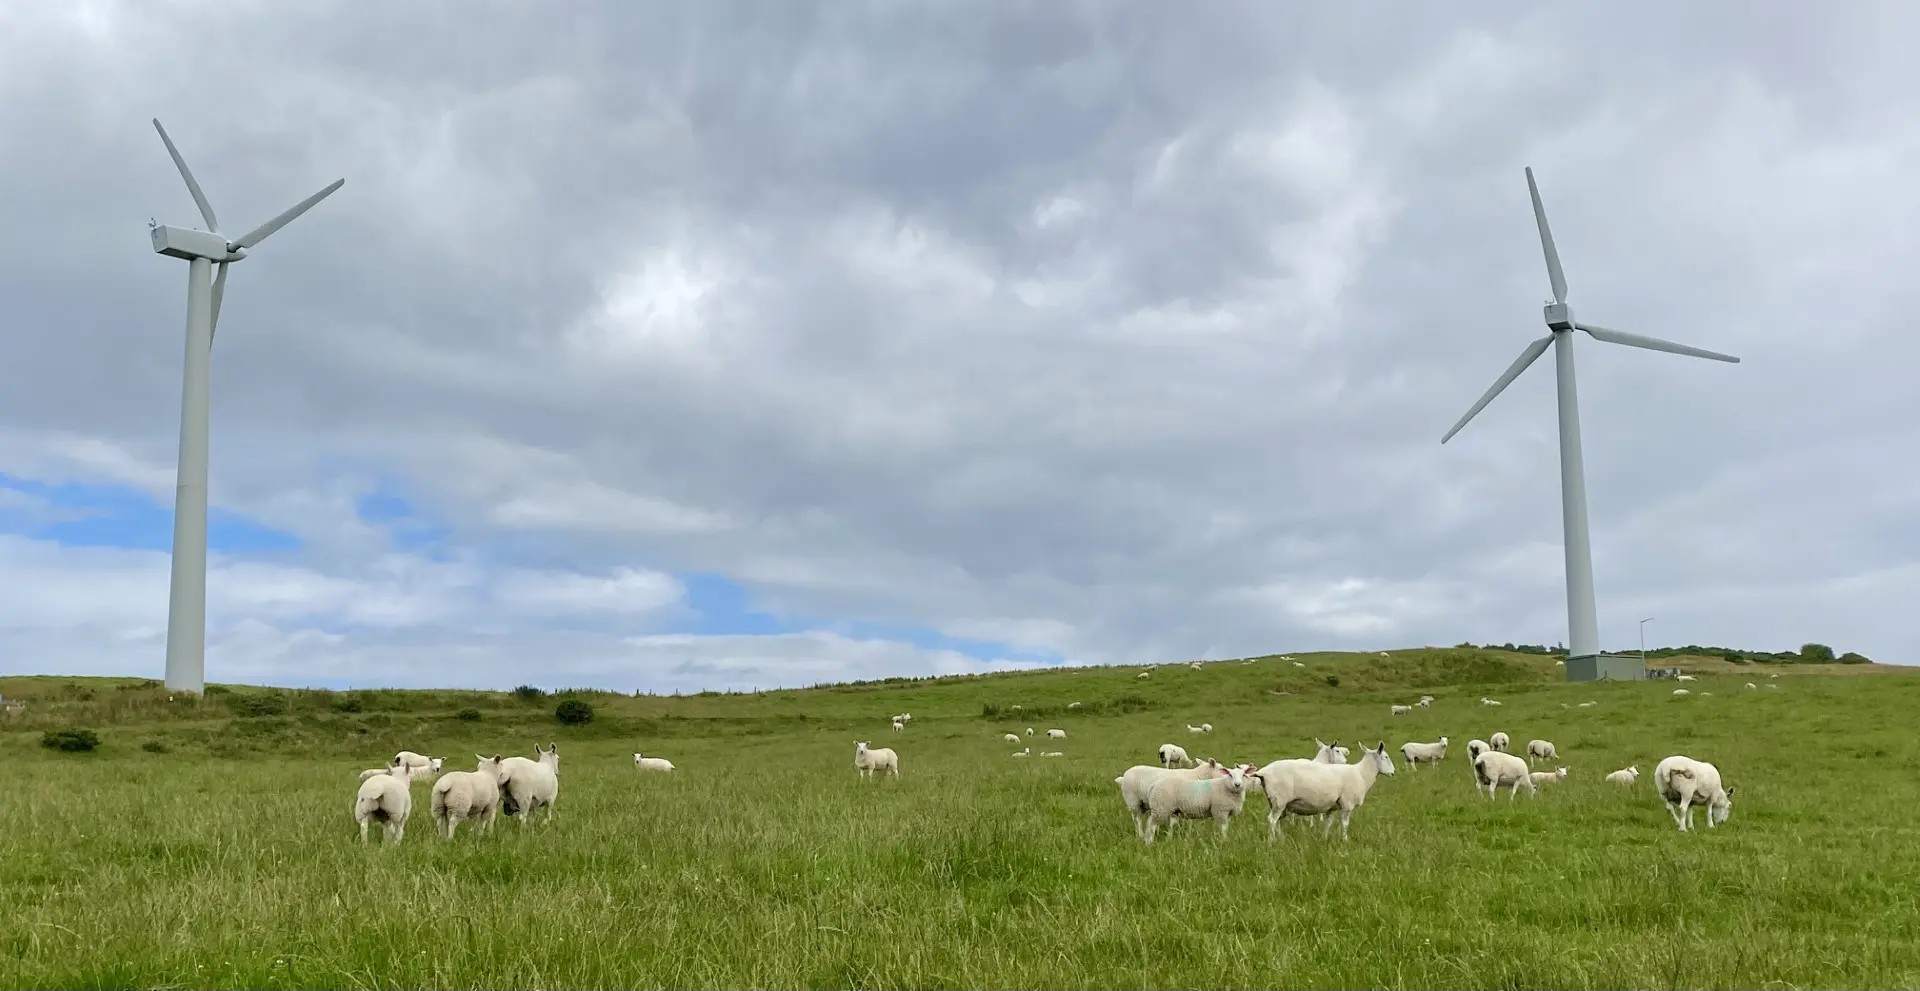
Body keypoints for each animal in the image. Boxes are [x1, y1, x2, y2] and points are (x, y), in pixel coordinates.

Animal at [1252, 742, 1397, 841]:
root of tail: (1264, 772)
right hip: (1280, 801)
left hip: (1274, 802)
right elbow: (1345, 825)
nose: (1393, 772)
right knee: (1272, 820)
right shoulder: (1347, 805)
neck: (1361, 774)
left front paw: (1324, 839)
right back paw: (1272, 841)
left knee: (1277, 821)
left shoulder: (1331, 807)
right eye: (1386, 756)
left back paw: (1280, 838)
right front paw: (1345, 841)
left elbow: (1328, 824)